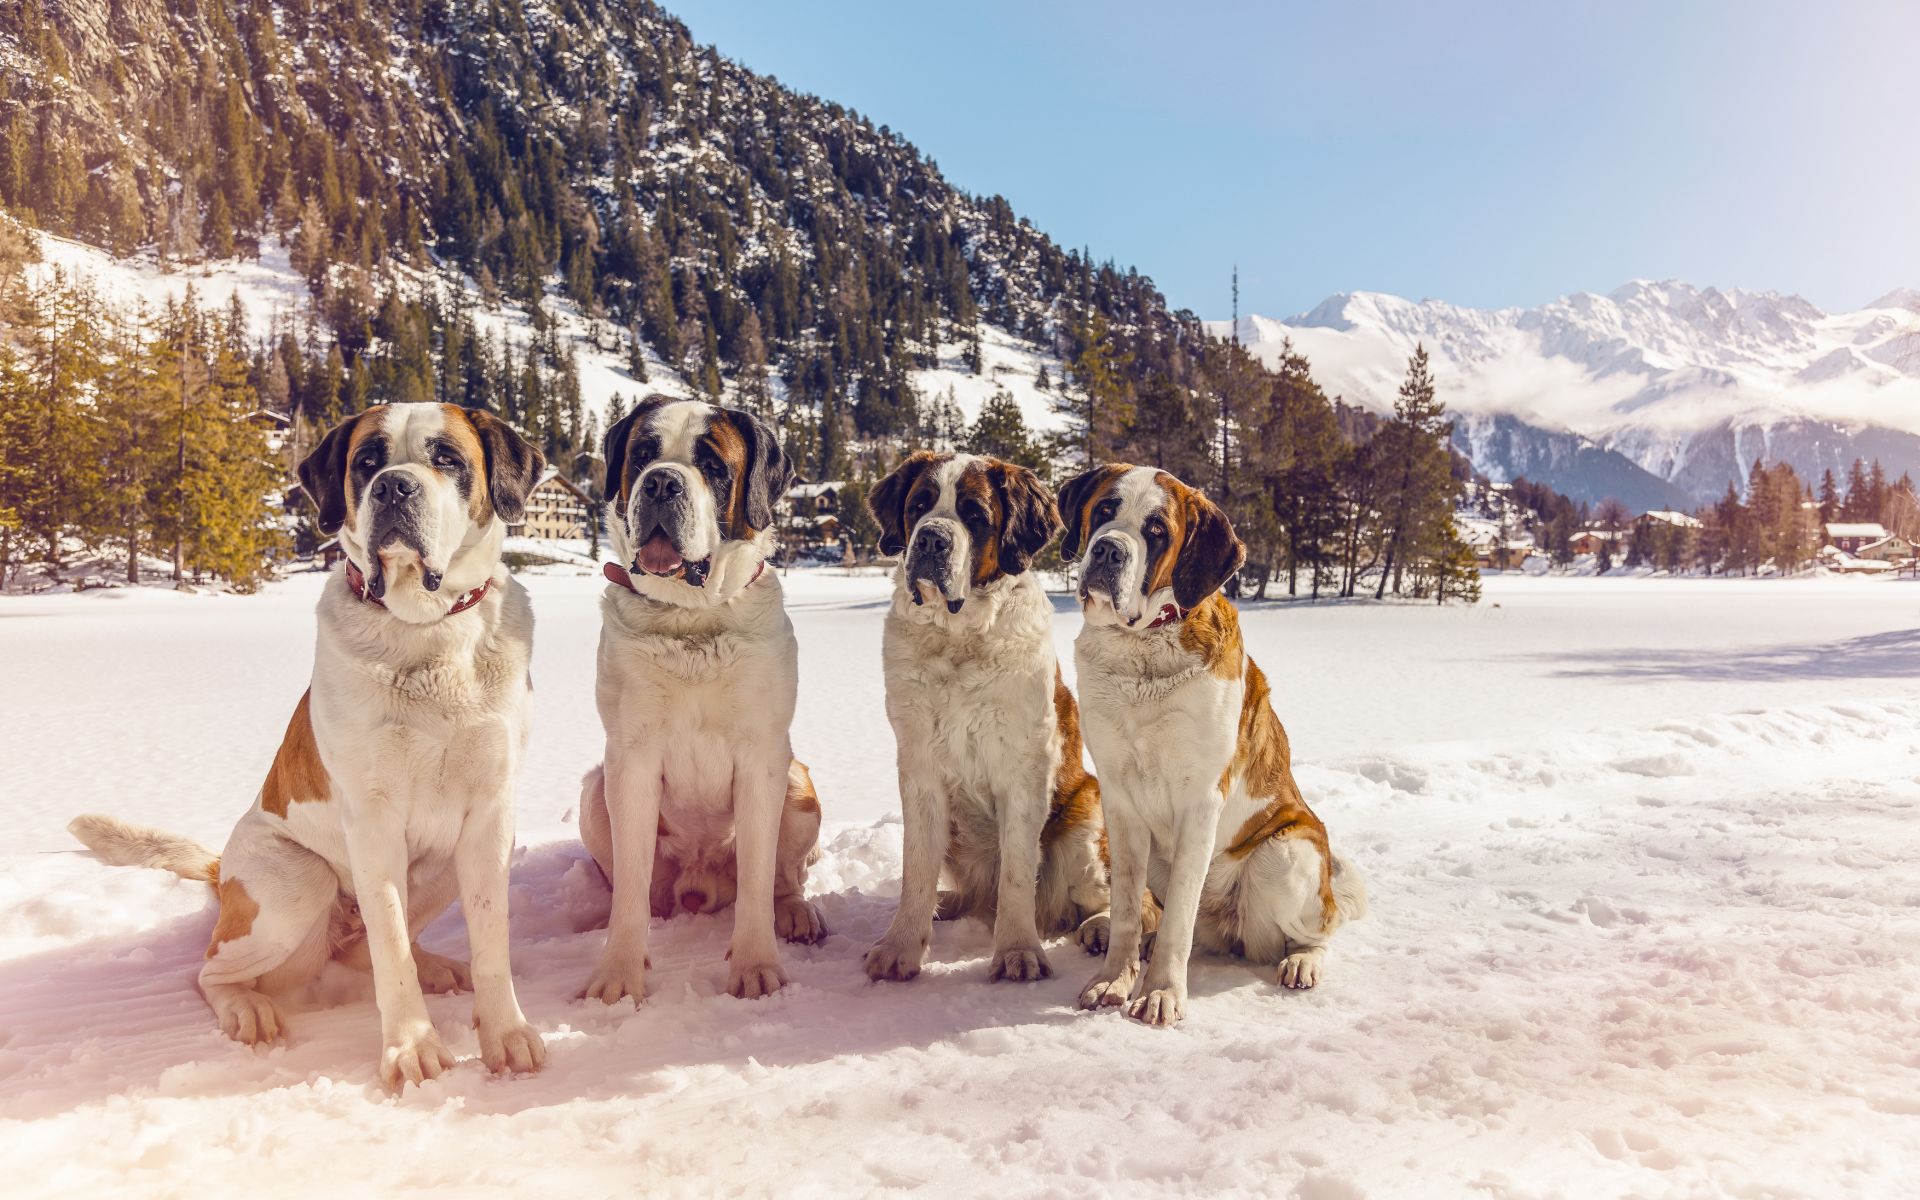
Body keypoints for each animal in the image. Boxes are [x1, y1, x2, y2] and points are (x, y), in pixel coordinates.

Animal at [68, 399, 549, 1082]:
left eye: (447, 459)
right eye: (367, 462)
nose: (394, 487)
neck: (424, 632)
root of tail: (222, 872)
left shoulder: (490, 816)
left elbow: (489, 939)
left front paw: (505, 1034)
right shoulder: (372, 822)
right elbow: (390, 944)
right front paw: (412, 1049)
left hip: (440, 866)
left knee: (367, 951)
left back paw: (437, 967)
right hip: (297, 884)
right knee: (212, 970)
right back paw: (246, 1009)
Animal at [579, 391, 829, 998]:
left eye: (713, 465)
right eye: (643, 454)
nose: (661, 483)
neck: (691, 621)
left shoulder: (763, 758)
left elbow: (761, 874)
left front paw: (756, 968)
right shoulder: (630, 758)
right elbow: (629, 883)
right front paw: (618, 975)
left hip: (798, 783)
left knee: (782, 877)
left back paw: (795, 912)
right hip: (595, 792)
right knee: (633, 885)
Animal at [864, 449, 1121, 983]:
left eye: (975, 516)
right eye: (918, 505)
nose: (931, 538)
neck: (958, 637)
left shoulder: (1023, 771)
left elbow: (1018, 870)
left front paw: (1018, 952)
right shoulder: (919, 768)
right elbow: (916, 866)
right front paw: (900, 947)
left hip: (1086, 819)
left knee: (1116, 898)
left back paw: (1100, 929)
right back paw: (947, 905)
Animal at [1059, 462, 1359, 1021]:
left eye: (1157, 531)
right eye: (1105, 509)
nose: (1108, 550)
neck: (1141, 648)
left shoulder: (1200, 800)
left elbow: (1180, 911)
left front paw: (1160, 993)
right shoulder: (1119, 799)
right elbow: (1130, 903)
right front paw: (1114, 978)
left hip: (1286, 854)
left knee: (1317, 930)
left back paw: (1302, 962)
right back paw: (1115, 932)